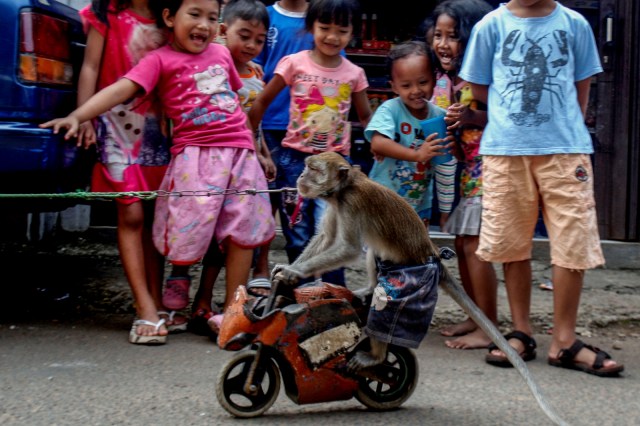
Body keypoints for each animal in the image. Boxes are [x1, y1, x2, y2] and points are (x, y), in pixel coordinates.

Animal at [276, 152, 568, 426]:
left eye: (313, 169)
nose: (300, 177)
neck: (343, 189)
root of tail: (433, 254)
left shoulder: (351, 204)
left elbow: (347, 249)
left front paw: (294, 273)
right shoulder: (336, 204)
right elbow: (326, 239)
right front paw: (287, 270)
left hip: (411, 279)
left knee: (385, 307)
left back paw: (375, 355)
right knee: (375, 252)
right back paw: (368, 290)